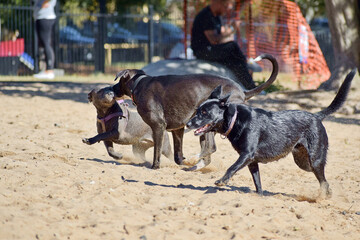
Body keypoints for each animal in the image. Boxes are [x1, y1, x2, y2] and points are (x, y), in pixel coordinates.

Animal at [112, 54, 278, 171]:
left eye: (118, 81)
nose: (112, 89)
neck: (139, 83)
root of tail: (242, 91)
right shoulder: (177, 130)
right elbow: (178, 157)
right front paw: (184, 162)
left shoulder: (158, 126)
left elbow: (157, 151)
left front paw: (155, 167)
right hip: (204, 129)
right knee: (207, 155)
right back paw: (194, 165)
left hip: (210, 125)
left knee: (211, 148)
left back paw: (193, 160)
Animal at [187, 68, 358, 198]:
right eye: (197, 110)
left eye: (204, 112)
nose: (188, 123)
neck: (235, 119)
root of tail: (316, 116)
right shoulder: (251, 161)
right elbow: (257, 182)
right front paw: (259, 196)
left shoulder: (246, 155)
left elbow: (231, 167)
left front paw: (222, 181)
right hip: (303, 162)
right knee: (324, 181)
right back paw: (327, 194)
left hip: (315, 160)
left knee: (323, 180)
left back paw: (323, 197)